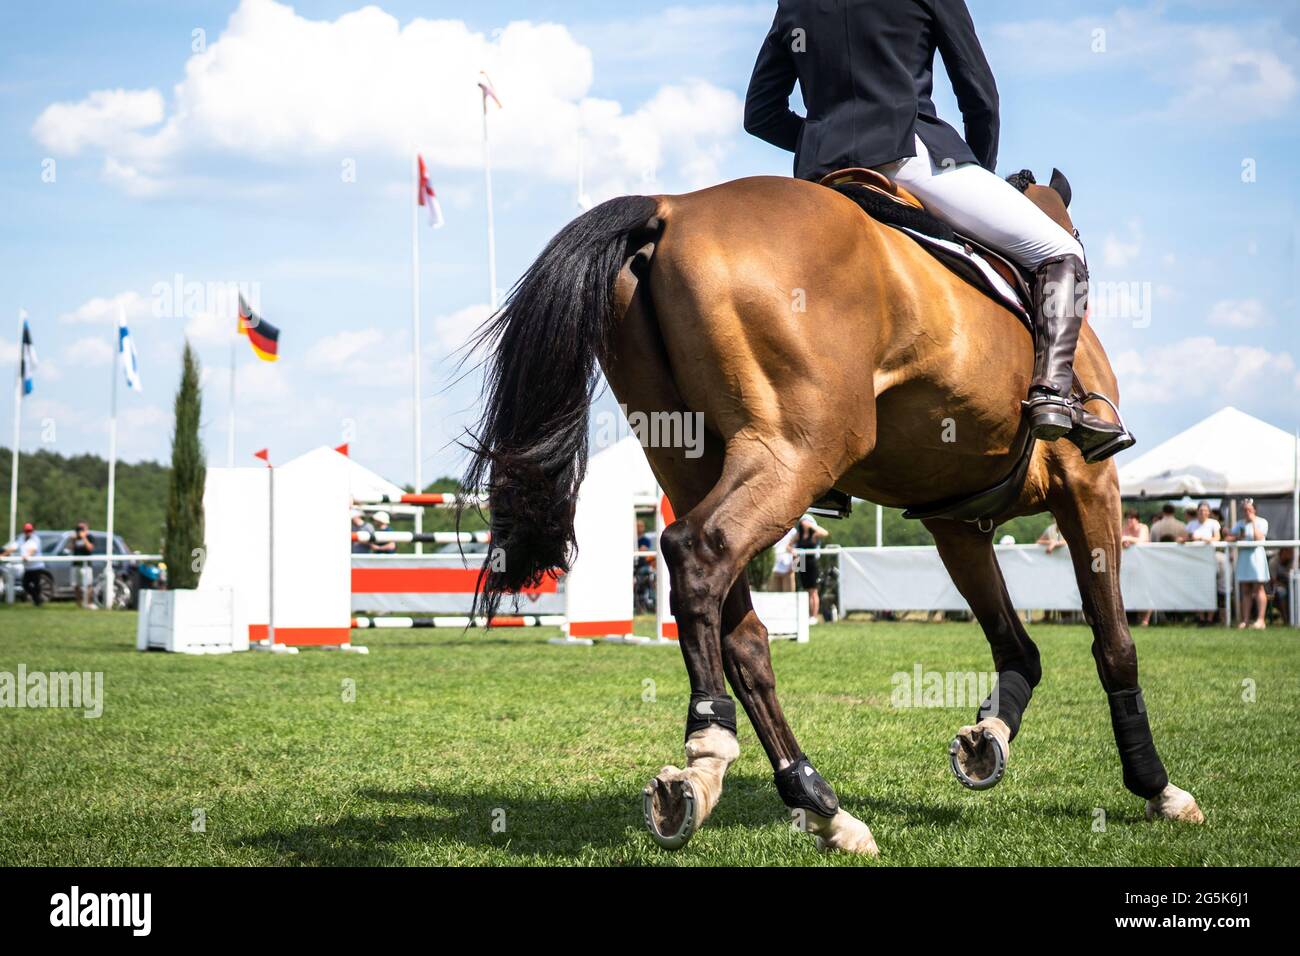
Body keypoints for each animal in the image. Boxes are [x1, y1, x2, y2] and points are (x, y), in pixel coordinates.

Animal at [462, 170, 1201, 853]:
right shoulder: (1090, 484)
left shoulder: (954, 518)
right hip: (796, 448)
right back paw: (708, 754)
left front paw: (987, 738)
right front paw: (1157, 787)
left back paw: (817, 802)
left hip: (689, 456)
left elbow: (1015, 641)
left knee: (740, 627)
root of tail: (674, 207)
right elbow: (1115, 643)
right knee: (696, 552)